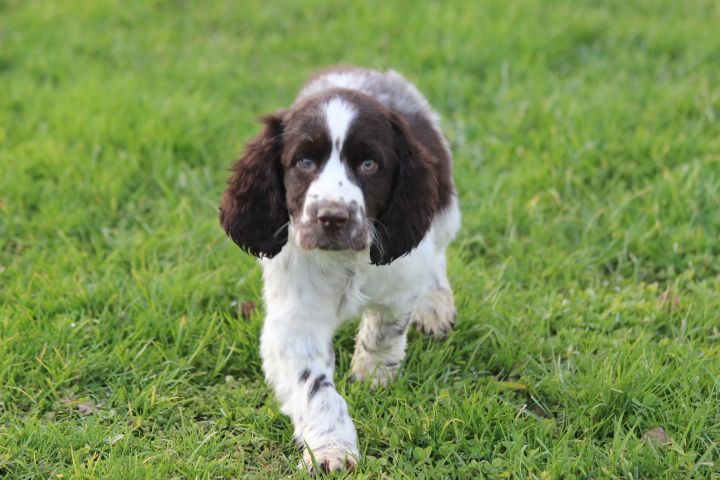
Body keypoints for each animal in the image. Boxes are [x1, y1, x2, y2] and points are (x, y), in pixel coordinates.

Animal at [217, 67, 462, 472]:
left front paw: (372, 373)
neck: (346, 259)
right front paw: (331, 450)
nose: (332, 217)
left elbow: (385, 329)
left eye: (368, 164)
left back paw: (435, 305)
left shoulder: (399, 281)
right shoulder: (294, 322)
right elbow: (315, 387)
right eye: (304, 161)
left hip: (444, 212)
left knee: (437, 257)